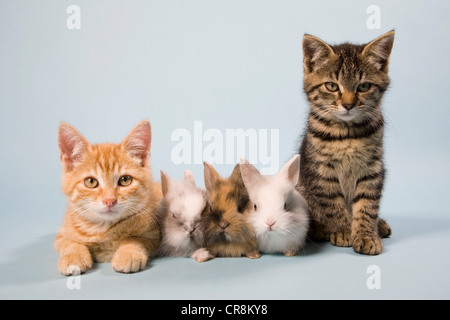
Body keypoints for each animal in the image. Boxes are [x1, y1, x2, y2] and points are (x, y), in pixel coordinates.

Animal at [55, 120, 162, 276]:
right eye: (91, 182)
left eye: (125, 180)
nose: (109, 200)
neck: (102, 228)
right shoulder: (62, 235)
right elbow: (70, 243)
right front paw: (73, 257)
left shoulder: (154, 234)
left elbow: (135, 239)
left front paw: (128, 253)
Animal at [298, 30, 394, 255]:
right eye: (332, 86)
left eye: (364, 86)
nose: (348, 105)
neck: (347, 133)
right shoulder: (321, 171)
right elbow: (333, 204)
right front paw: (343, 230)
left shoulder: (372, 169)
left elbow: (367, 205)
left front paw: (366, 234)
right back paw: (321, 228)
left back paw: (379, 225)